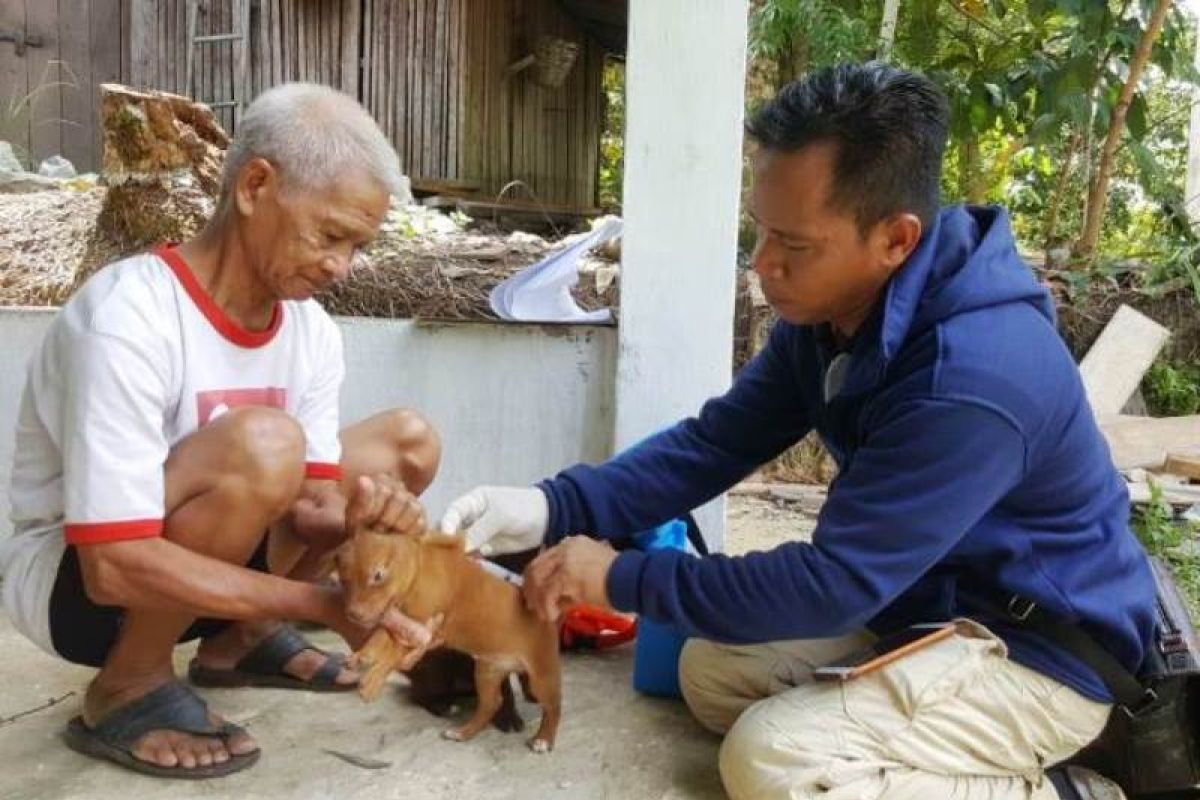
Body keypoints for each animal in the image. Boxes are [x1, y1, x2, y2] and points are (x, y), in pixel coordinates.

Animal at [338, 532, 561, 753]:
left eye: (378, 576)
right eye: (343, 580)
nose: (353, 614)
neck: (419, 572)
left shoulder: (422, 627)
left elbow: (394, 653)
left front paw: (372, 681)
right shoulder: (401, 621)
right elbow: (379, 637)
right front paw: (362, 656)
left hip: (541, 677)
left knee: (553, 707)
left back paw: (544, 739)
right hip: (487, 673)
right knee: (491, 704)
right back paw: (462, 733)